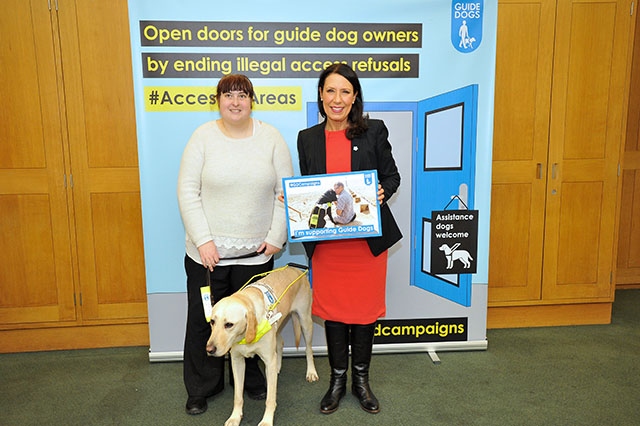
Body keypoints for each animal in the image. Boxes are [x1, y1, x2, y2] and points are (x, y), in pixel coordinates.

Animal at [206, 262, 318, 426]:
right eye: (212, 322)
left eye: (229, 324)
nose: (209, 349)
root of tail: (296, 269)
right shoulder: (237, 361)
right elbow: (238, 396)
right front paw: (235, 417)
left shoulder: (268, 359)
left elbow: (270, 399)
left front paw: (266, 420)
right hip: (278, 326)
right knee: (280, 343)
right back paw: (278, 367)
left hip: (305, 321)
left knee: (309, 349)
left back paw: (311, 372)